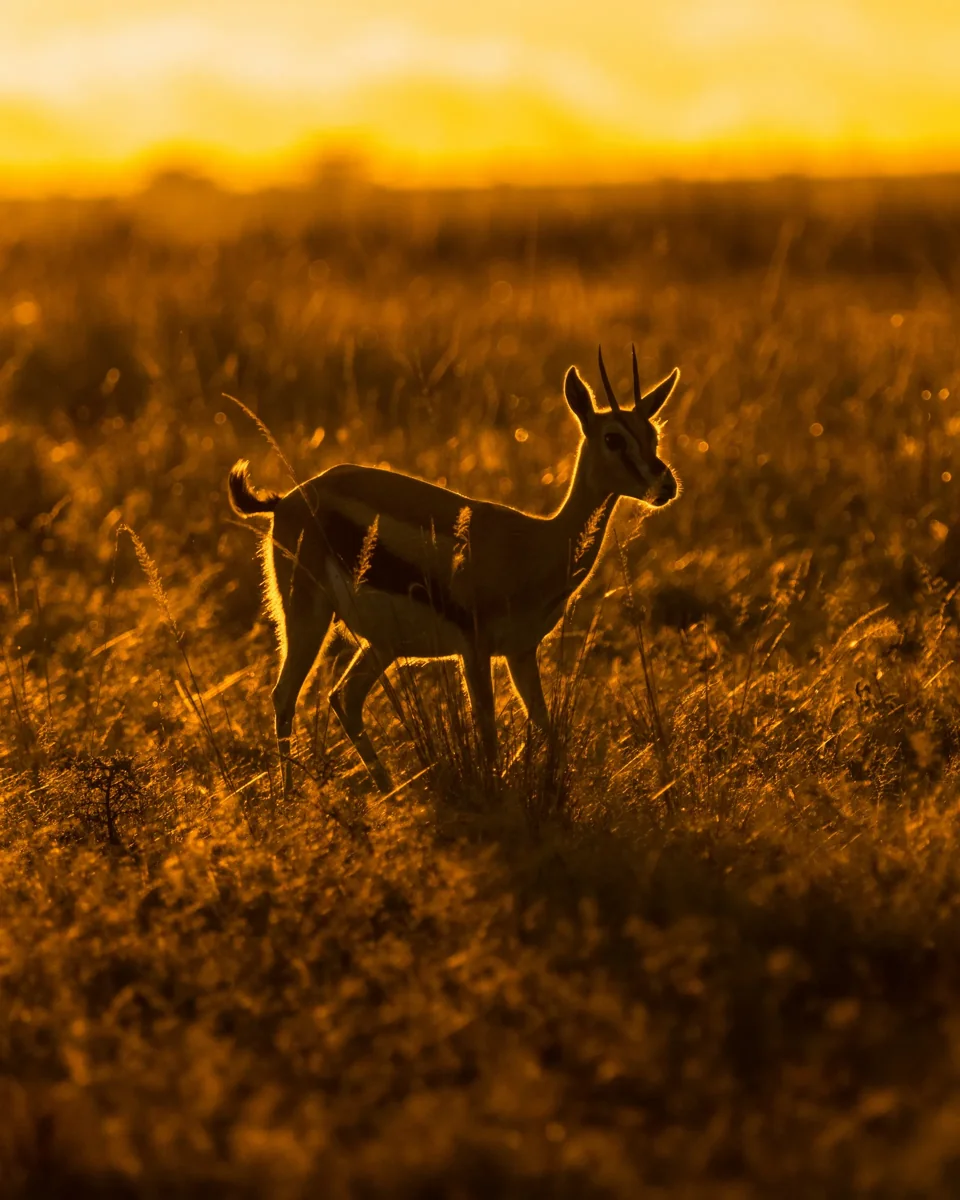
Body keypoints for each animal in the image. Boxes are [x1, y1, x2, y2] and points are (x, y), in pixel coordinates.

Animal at [228, 347, 681, 793]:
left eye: (653, 435)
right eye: (613, 438)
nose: (666, 486)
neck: (537, 541)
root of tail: (288, 498)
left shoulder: (520, 651)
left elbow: (545, 727)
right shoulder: (475, 650)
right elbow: (489, 737)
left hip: (383, 644)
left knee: (344, 698)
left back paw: (390, 791)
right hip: (307, 616)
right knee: (284, 695)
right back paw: (290, 797)